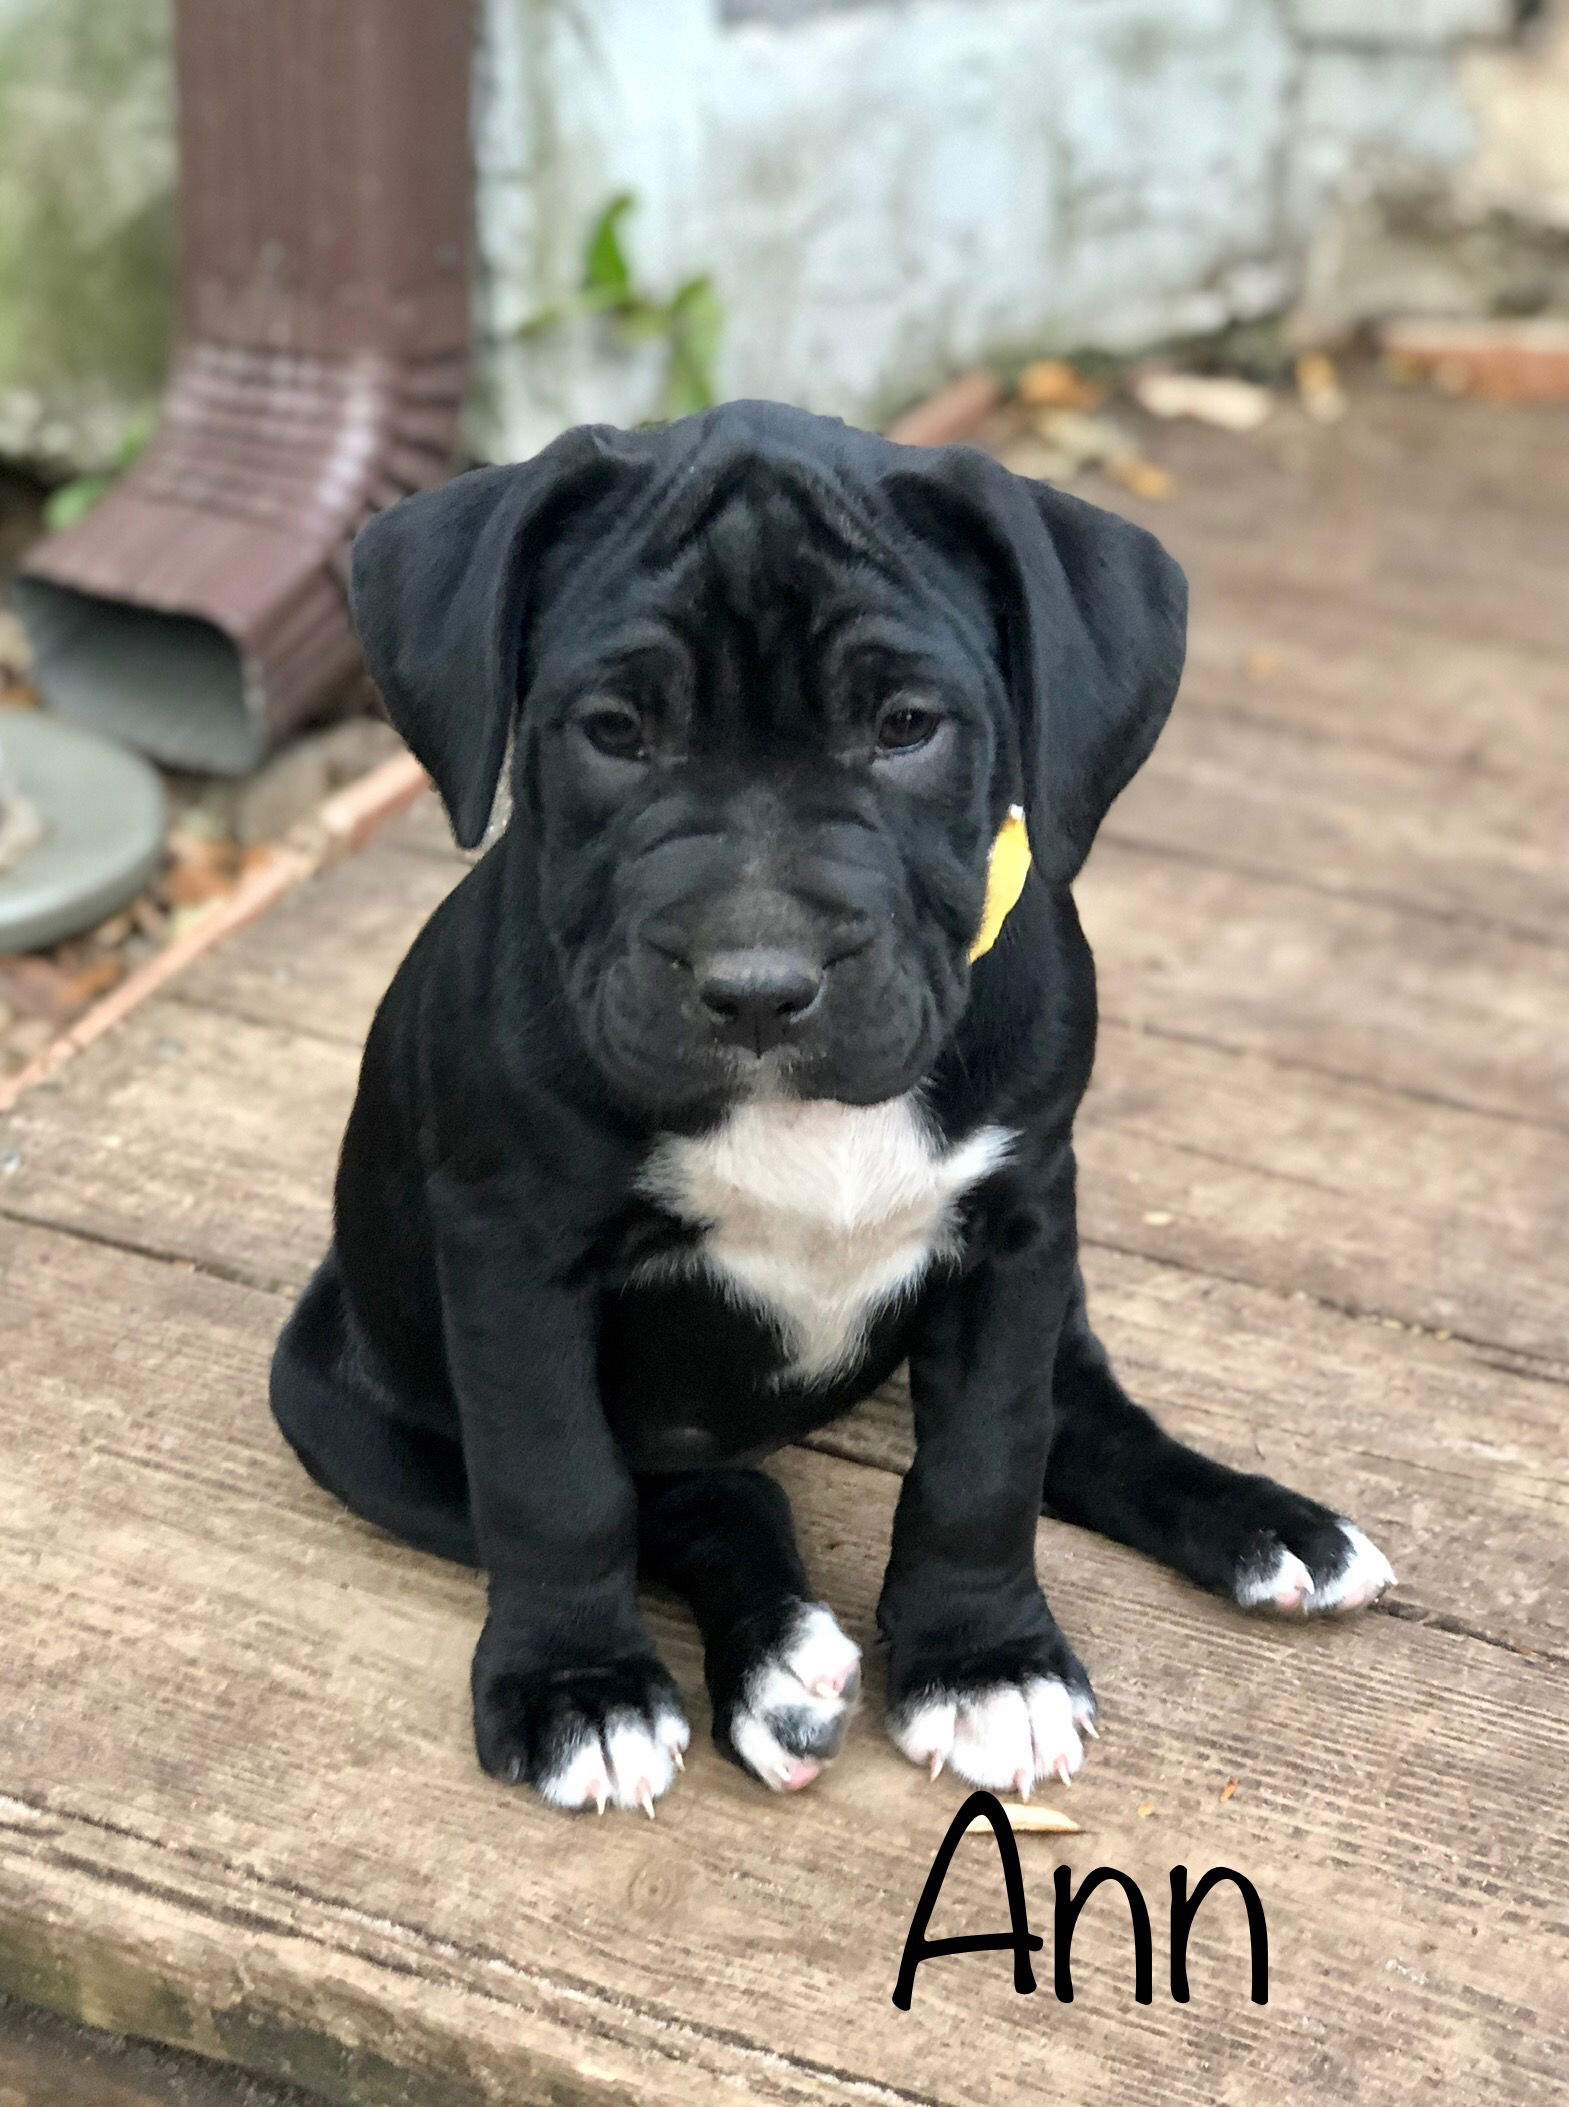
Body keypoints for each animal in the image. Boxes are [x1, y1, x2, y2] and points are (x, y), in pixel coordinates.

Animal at [271, 398, 1398, 1812]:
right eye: (615, 731)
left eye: (907, 724)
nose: (759, 987)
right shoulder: (513, 1257)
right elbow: (557, 1482)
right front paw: (578, 1686)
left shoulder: (1019, 1227)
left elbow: (989, 1455)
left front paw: (983, 1662)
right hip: (351, 1411)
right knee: (701, 1499)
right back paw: (776, 1668)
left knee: (1079, 1419)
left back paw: (1269, 1527)